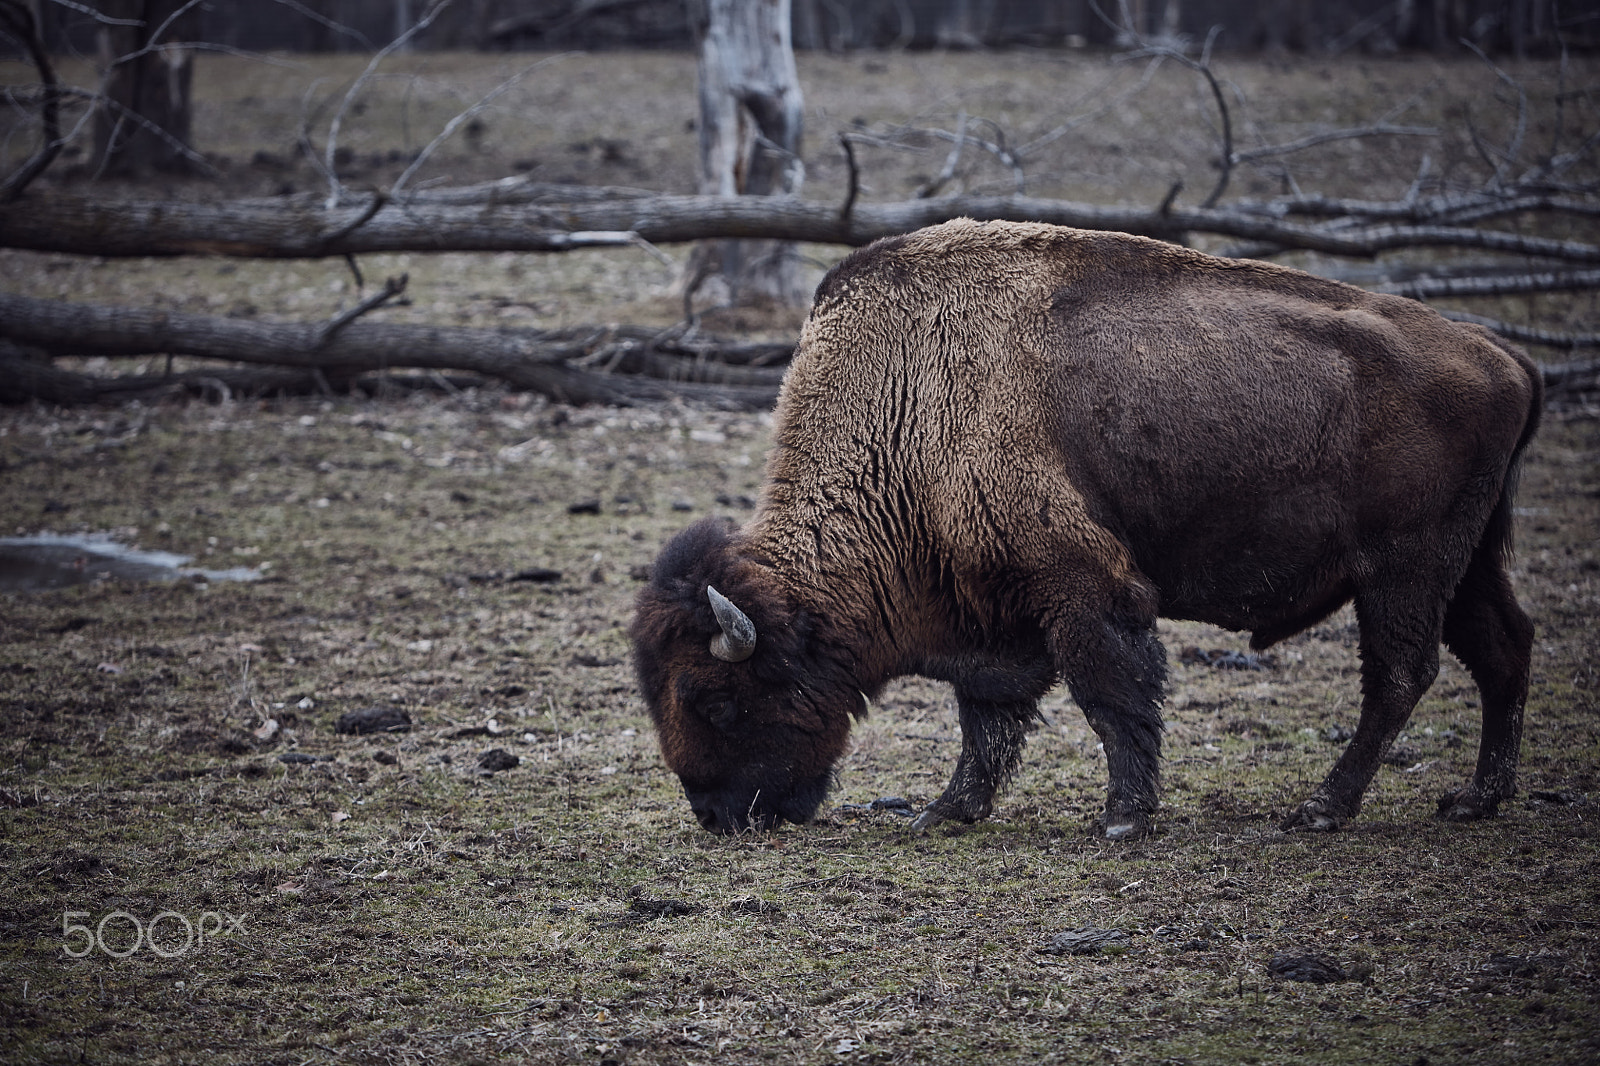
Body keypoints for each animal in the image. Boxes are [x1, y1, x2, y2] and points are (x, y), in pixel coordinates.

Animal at [630, 217, 1542, 838]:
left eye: (714, 699)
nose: (716, 814)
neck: (906, 407)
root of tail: (1502, 355)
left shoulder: (1078, 584)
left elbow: (1108, 692)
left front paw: (1124, 817)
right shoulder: (987, 611)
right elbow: (988, 719)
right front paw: (945, 812)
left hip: (1402, 569)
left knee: (1400, 673)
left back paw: (1323, 806)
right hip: (1466, 562)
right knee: (1502, 646)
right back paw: (1475, 798)